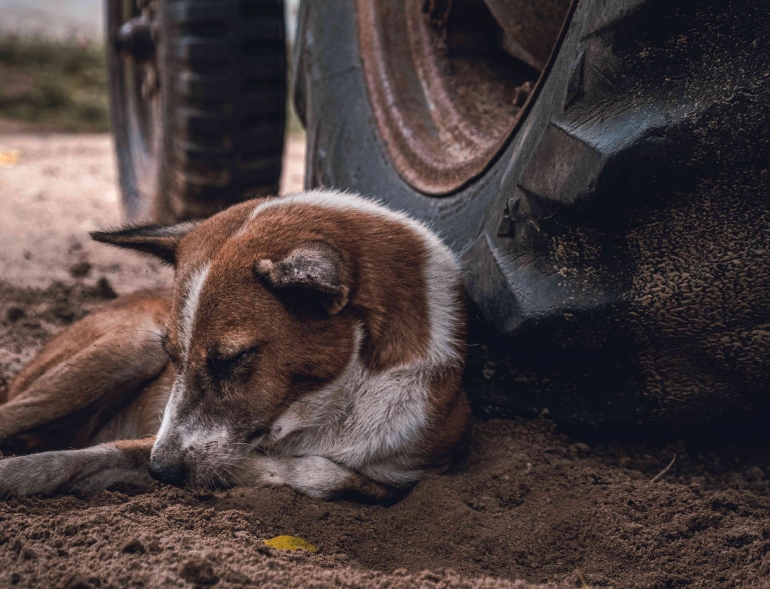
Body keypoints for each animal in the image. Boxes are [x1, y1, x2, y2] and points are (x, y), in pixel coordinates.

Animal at [0, 189, 468, 500]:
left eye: (232, 360)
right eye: (174, 358)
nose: (162, 472)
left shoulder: (412, 473)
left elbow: (331, 475)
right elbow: (71, 460)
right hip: (124, 351)